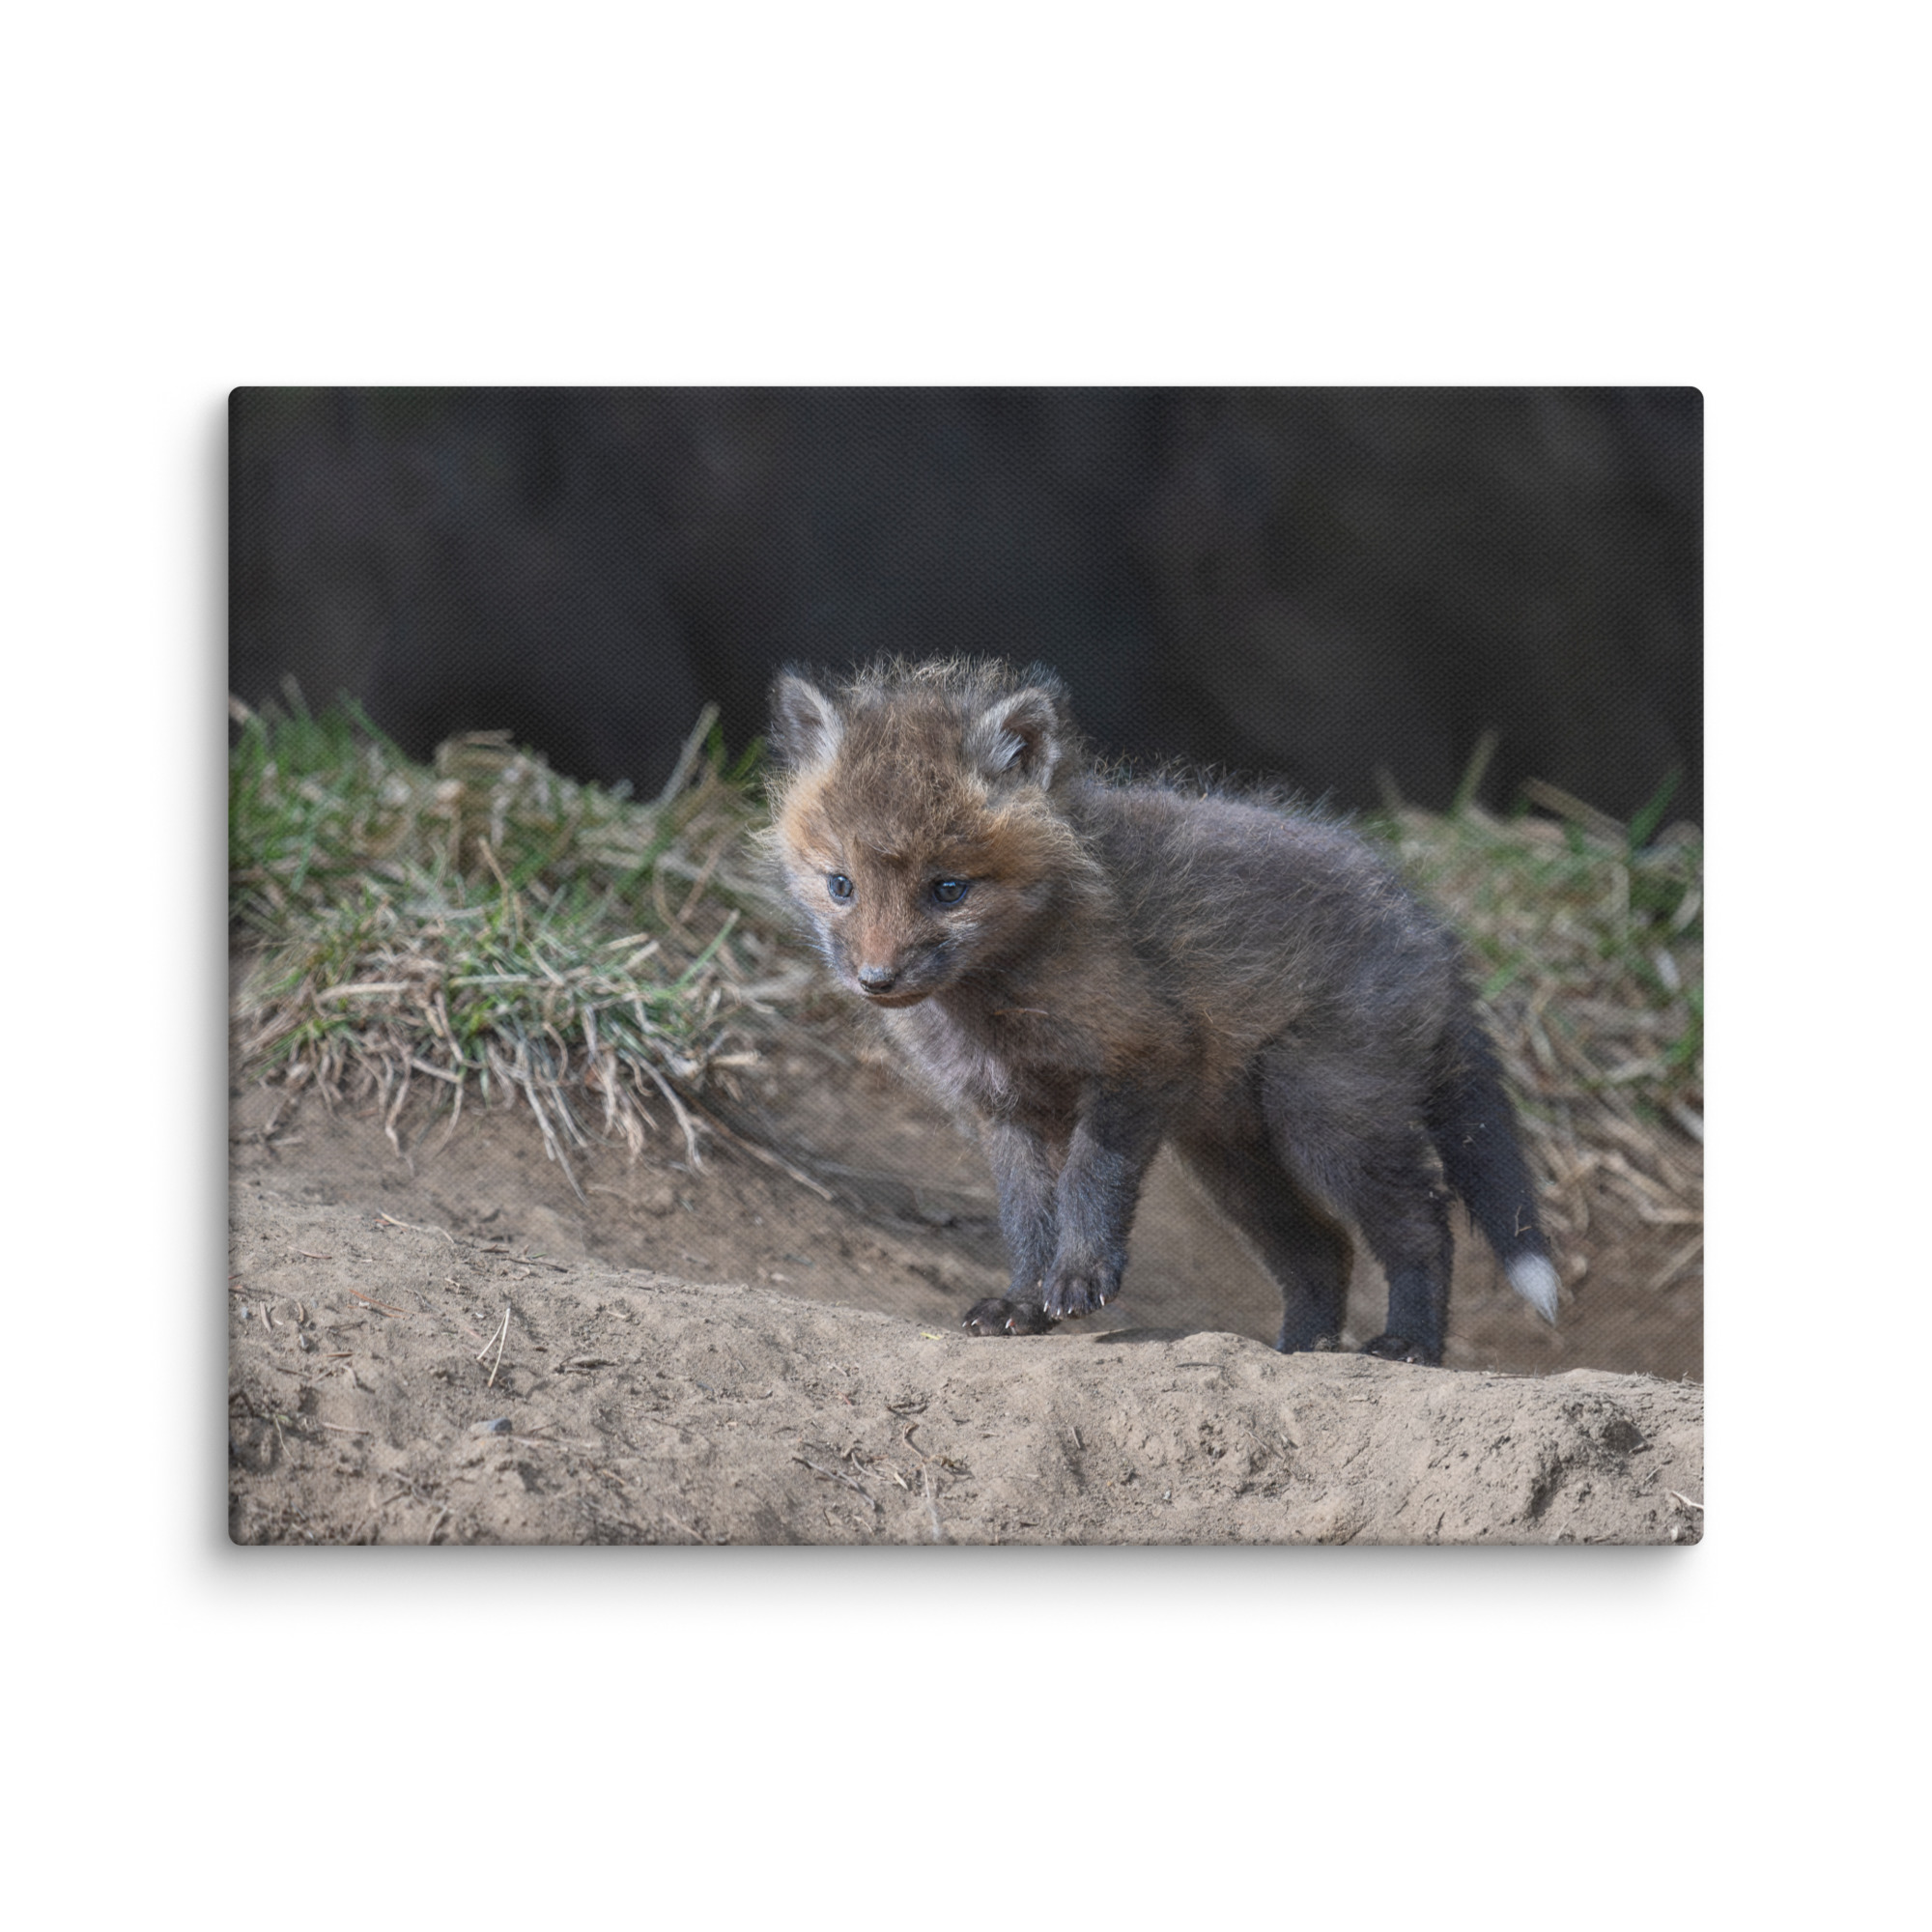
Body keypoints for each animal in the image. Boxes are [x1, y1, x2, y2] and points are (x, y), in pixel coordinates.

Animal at [765, 657, 1561, 1365]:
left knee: (1423, 1224)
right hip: (1232, 1158)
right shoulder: (1006, 1109)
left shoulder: (1142, 1056)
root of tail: (1429, 926)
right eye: (841, 885)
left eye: (948, 889)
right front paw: (1022, 1303)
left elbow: (1090, 1180)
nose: (876, 979)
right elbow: (1026, 1219)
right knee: (1324, 1249)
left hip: (1327, 1119)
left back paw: (1409, 1344)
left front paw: (1080, 1277)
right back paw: (1300, 1350)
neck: (995, 1004)